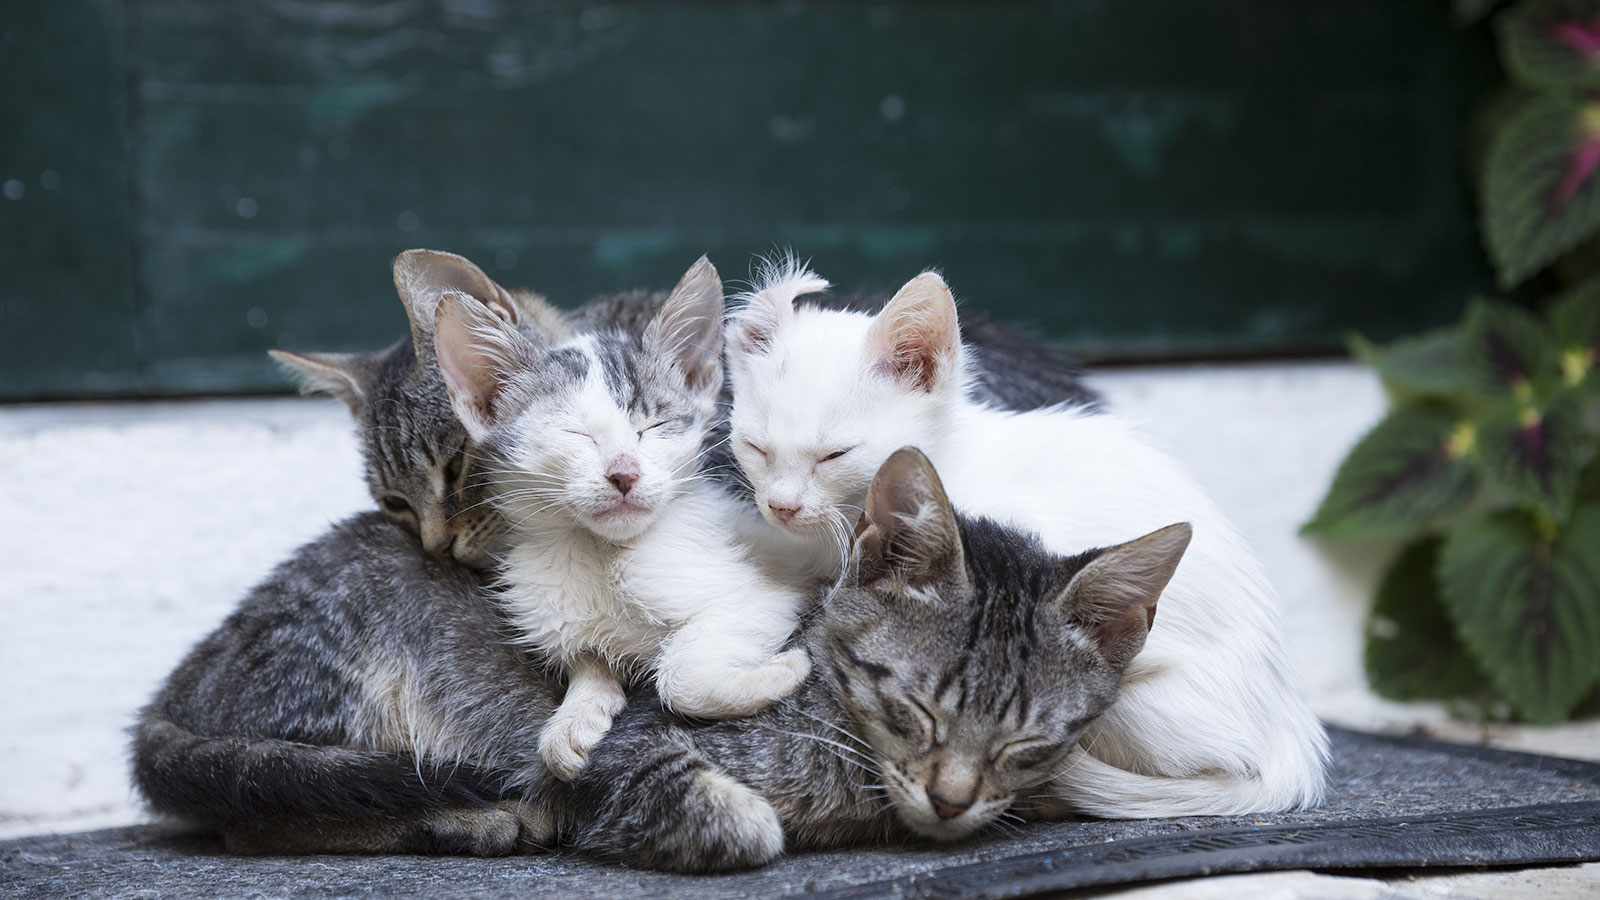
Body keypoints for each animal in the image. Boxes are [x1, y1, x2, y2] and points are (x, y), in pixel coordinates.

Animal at [432, 257, 806, 778]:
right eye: (575, 433)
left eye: (652, 426)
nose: (624, 473)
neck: (604, 554)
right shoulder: (552, 614)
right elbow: (586, 658)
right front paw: (577, 715)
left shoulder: (766, 594)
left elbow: (680, 674)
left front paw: (783, 671)